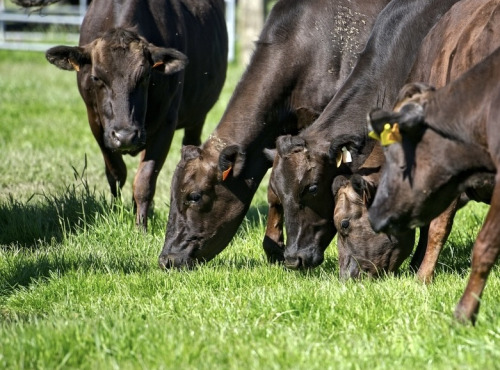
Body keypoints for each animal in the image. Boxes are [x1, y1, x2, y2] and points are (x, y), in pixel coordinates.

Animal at [45, 0, 229, 230]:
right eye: (96, 77)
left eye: (146, 76)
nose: (125, 136)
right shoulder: (96, 124)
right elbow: (116, 173)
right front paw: (115, 212)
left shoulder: (166, 124)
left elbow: (144, 181)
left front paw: (141, 226)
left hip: (196, 116)